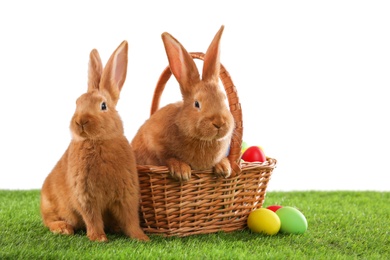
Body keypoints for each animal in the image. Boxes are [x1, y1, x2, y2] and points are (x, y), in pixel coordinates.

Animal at [40, 40, 149, 242]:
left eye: (103, 106)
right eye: (77, 103)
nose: (80, 121)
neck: (98, 142)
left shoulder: (127, 194)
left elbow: (130, 219)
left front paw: (141, 238)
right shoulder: (86, 195)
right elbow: (92, 218)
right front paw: (99, 238)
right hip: (50, 205)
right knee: (49, 221)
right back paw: (63, 229)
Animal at [131, 25, 235, 182]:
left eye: (223, 98)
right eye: (197, 104)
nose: (219, 122)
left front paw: (224, 168)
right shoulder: (153, 144)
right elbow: (167, 157)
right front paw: (182, 171)